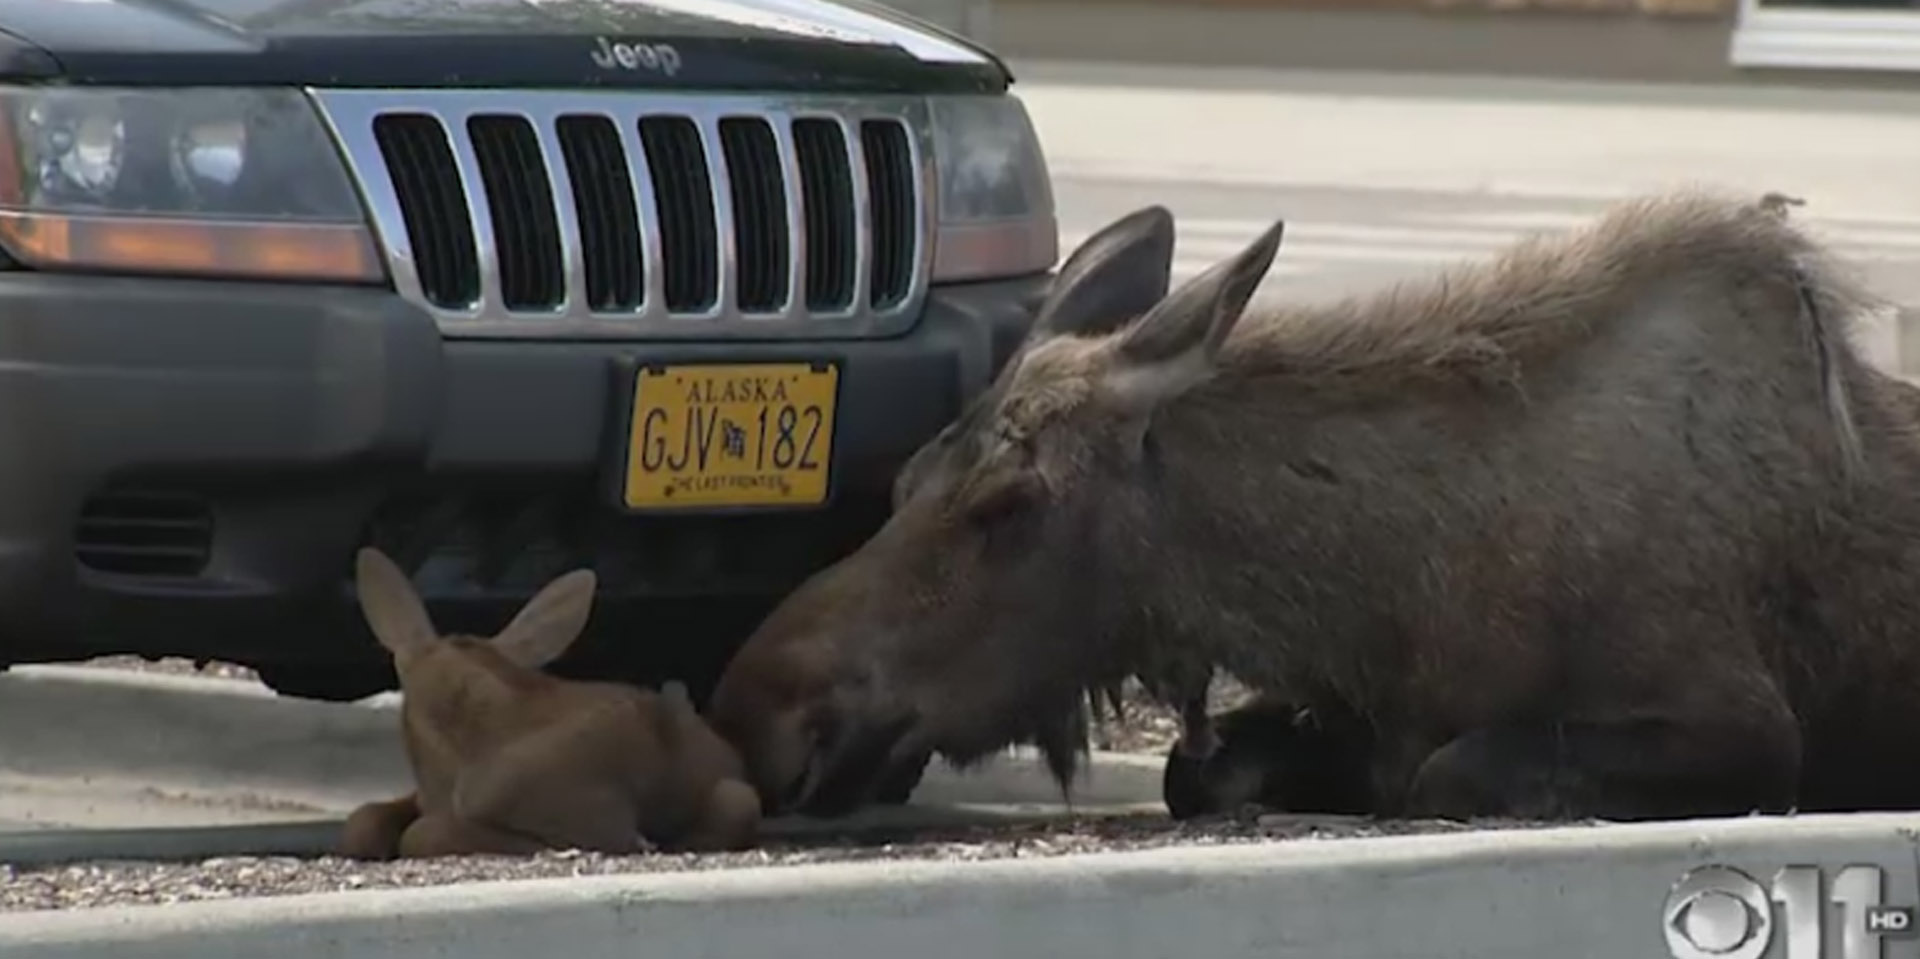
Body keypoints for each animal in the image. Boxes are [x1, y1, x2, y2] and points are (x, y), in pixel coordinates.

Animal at [714, 191, 1920, 822]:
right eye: (907, 477)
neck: (1394, 596)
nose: (758, 703)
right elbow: (1199, 764)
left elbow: (1450, 769)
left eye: (1010, 502)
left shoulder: (1746, 724)